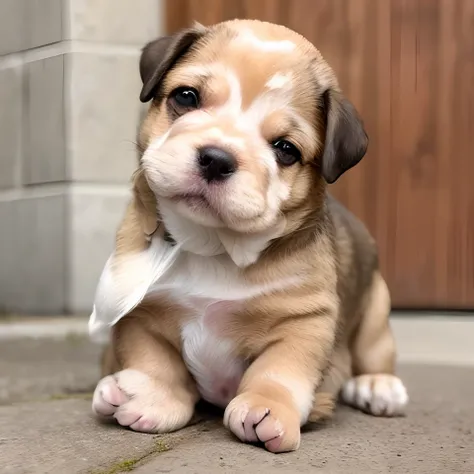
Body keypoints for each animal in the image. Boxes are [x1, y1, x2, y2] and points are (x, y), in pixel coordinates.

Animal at [89, 20, 408, 454]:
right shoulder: (141, 314)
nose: (216, 158)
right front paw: (152, 398)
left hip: (376, 309)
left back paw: (378, 386)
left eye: (285, 149)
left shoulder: (304, 320)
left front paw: (266, 406)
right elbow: (155, 360)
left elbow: (279, 371)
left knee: (374, 353)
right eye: (186, 97)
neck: (211, 245)